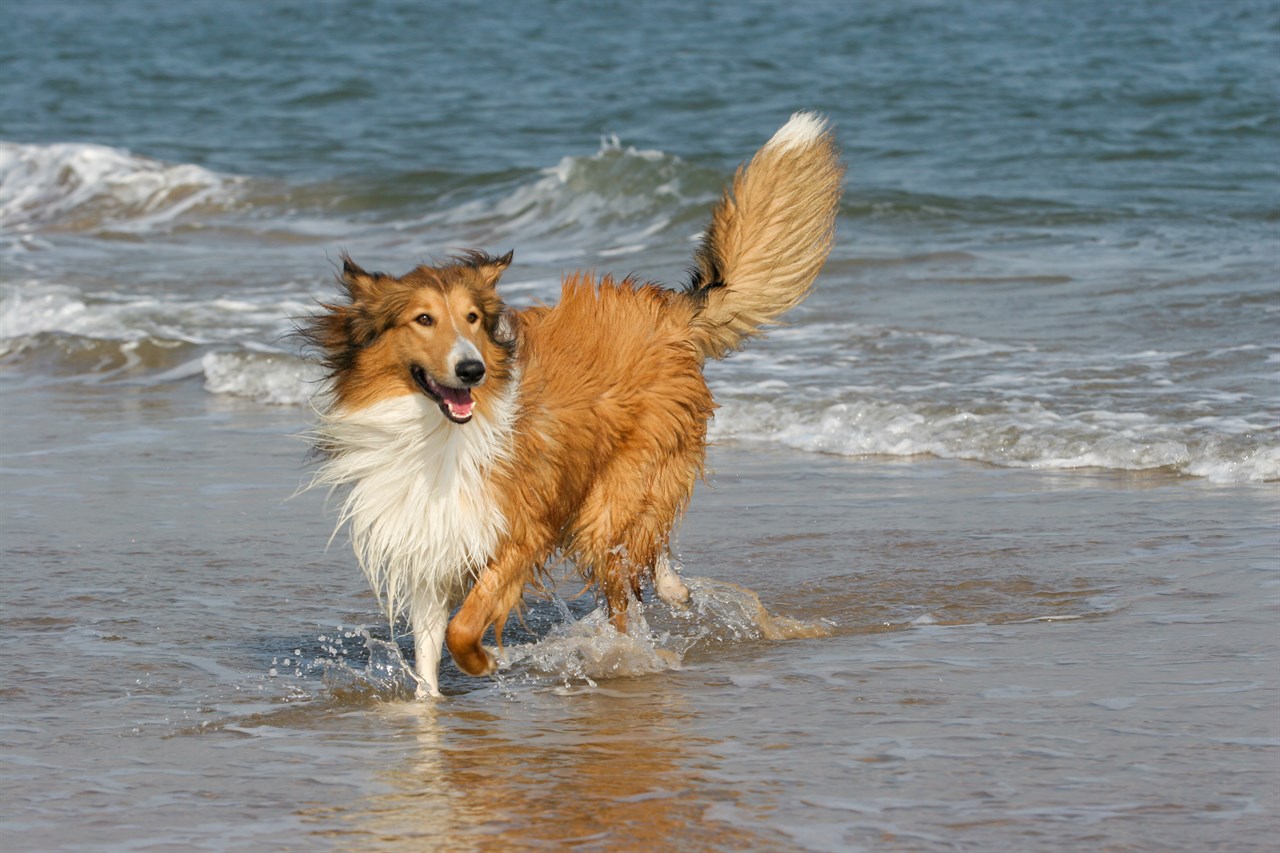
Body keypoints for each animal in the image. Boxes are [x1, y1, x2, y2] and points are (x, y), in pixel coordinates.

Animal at [298, 112, 839, 696]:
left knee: (629, 578)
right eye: (423, 319)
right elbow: (427, 649)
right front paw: (430, 703)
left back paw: (629, 647)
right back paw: (672, 593)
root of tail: (671, 314)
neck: (435, 434)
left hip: (614, 497)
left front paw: (486, 662)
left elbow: (464, 627)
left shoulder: (519, 531)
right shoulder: (433, 544)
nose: (472, 370)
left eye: (472, 318)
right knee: (647, 550)